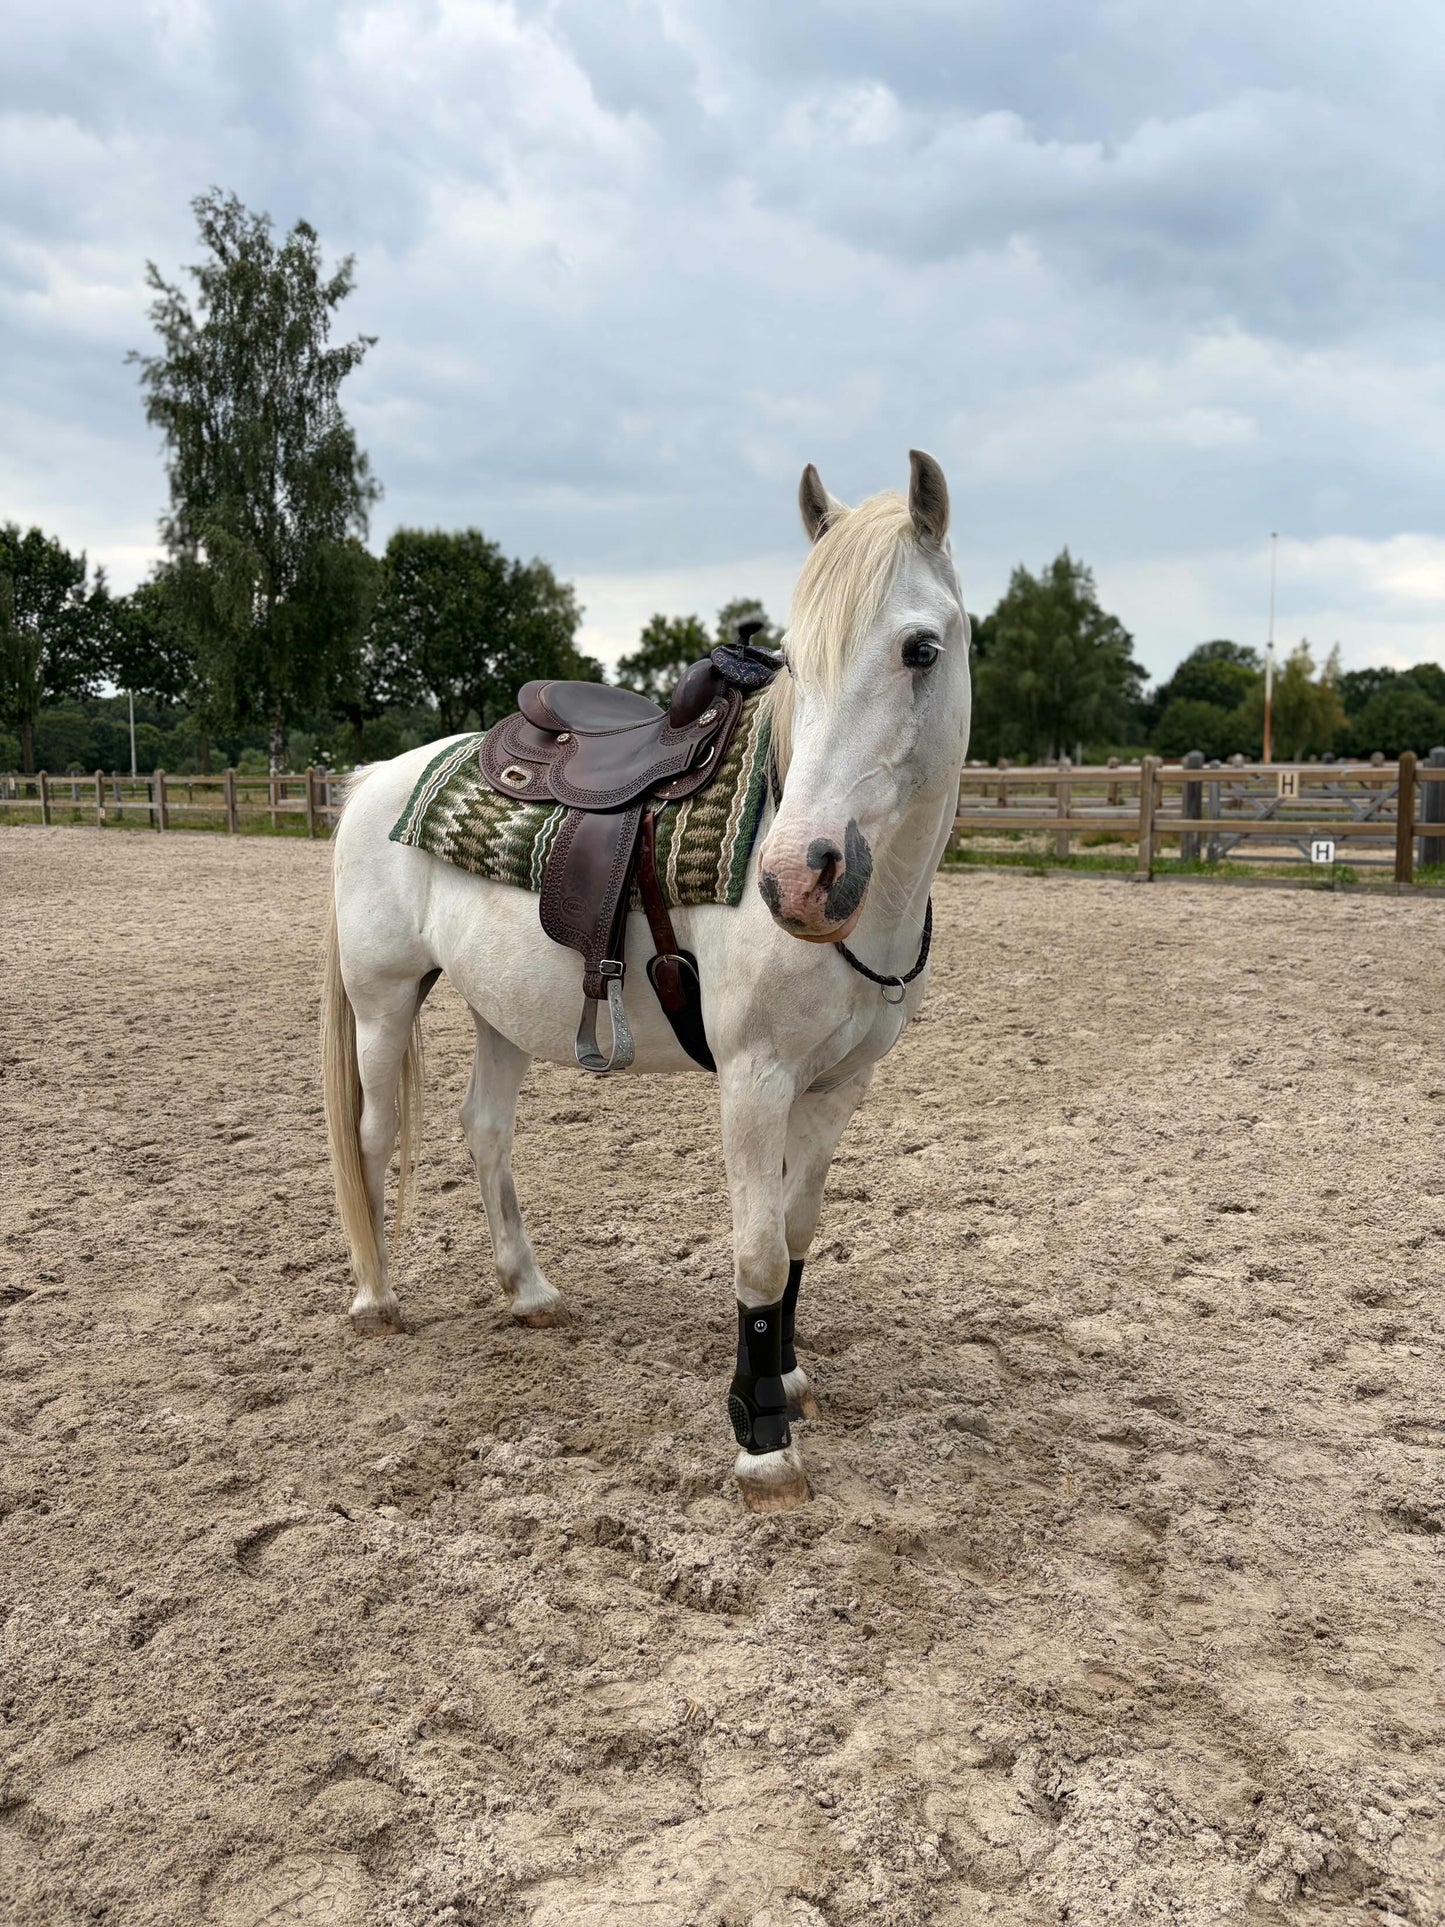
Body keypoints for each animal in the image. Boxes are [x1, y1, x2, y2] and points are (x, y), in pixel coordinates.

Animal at [322, 451, 971, 1511]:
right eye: (797, 660)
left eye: (920, 648)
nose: (798, 875)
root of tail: (376, 776)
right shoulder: (753, 1078)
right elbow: (756, 1251)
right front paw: (760, 1434)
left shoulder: (838, 1086)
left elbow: (796, 1230)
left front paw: (790, 1374)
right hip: (382, 1000)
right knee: (376, 1136)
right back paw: (377, 1295)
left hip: (501, 1010)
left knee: (484, 1130)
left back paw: (529, 1290)